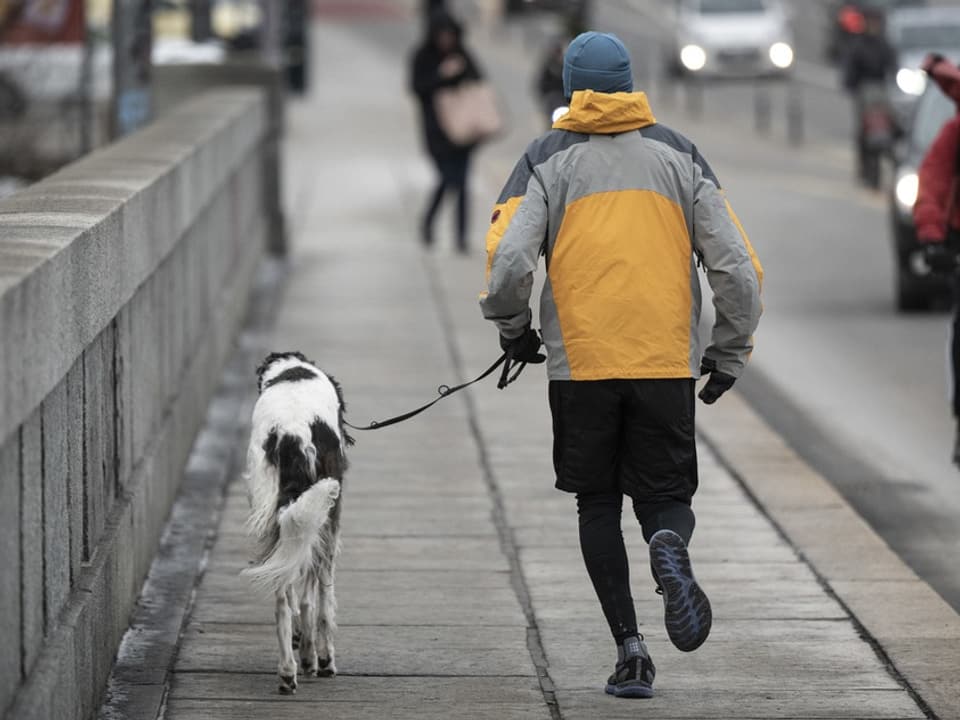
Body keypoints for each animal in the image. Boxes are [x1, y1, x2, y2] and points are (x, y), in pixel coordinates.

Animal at [242, 352, 354, 696]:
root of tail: (292, 434)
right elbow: (315, 598)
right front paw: (316, 653)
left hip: (273, 509)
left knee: (281, 597)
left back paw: (287, 670)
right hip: (327, 514)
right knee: (316, 594)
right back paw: (317, 659)